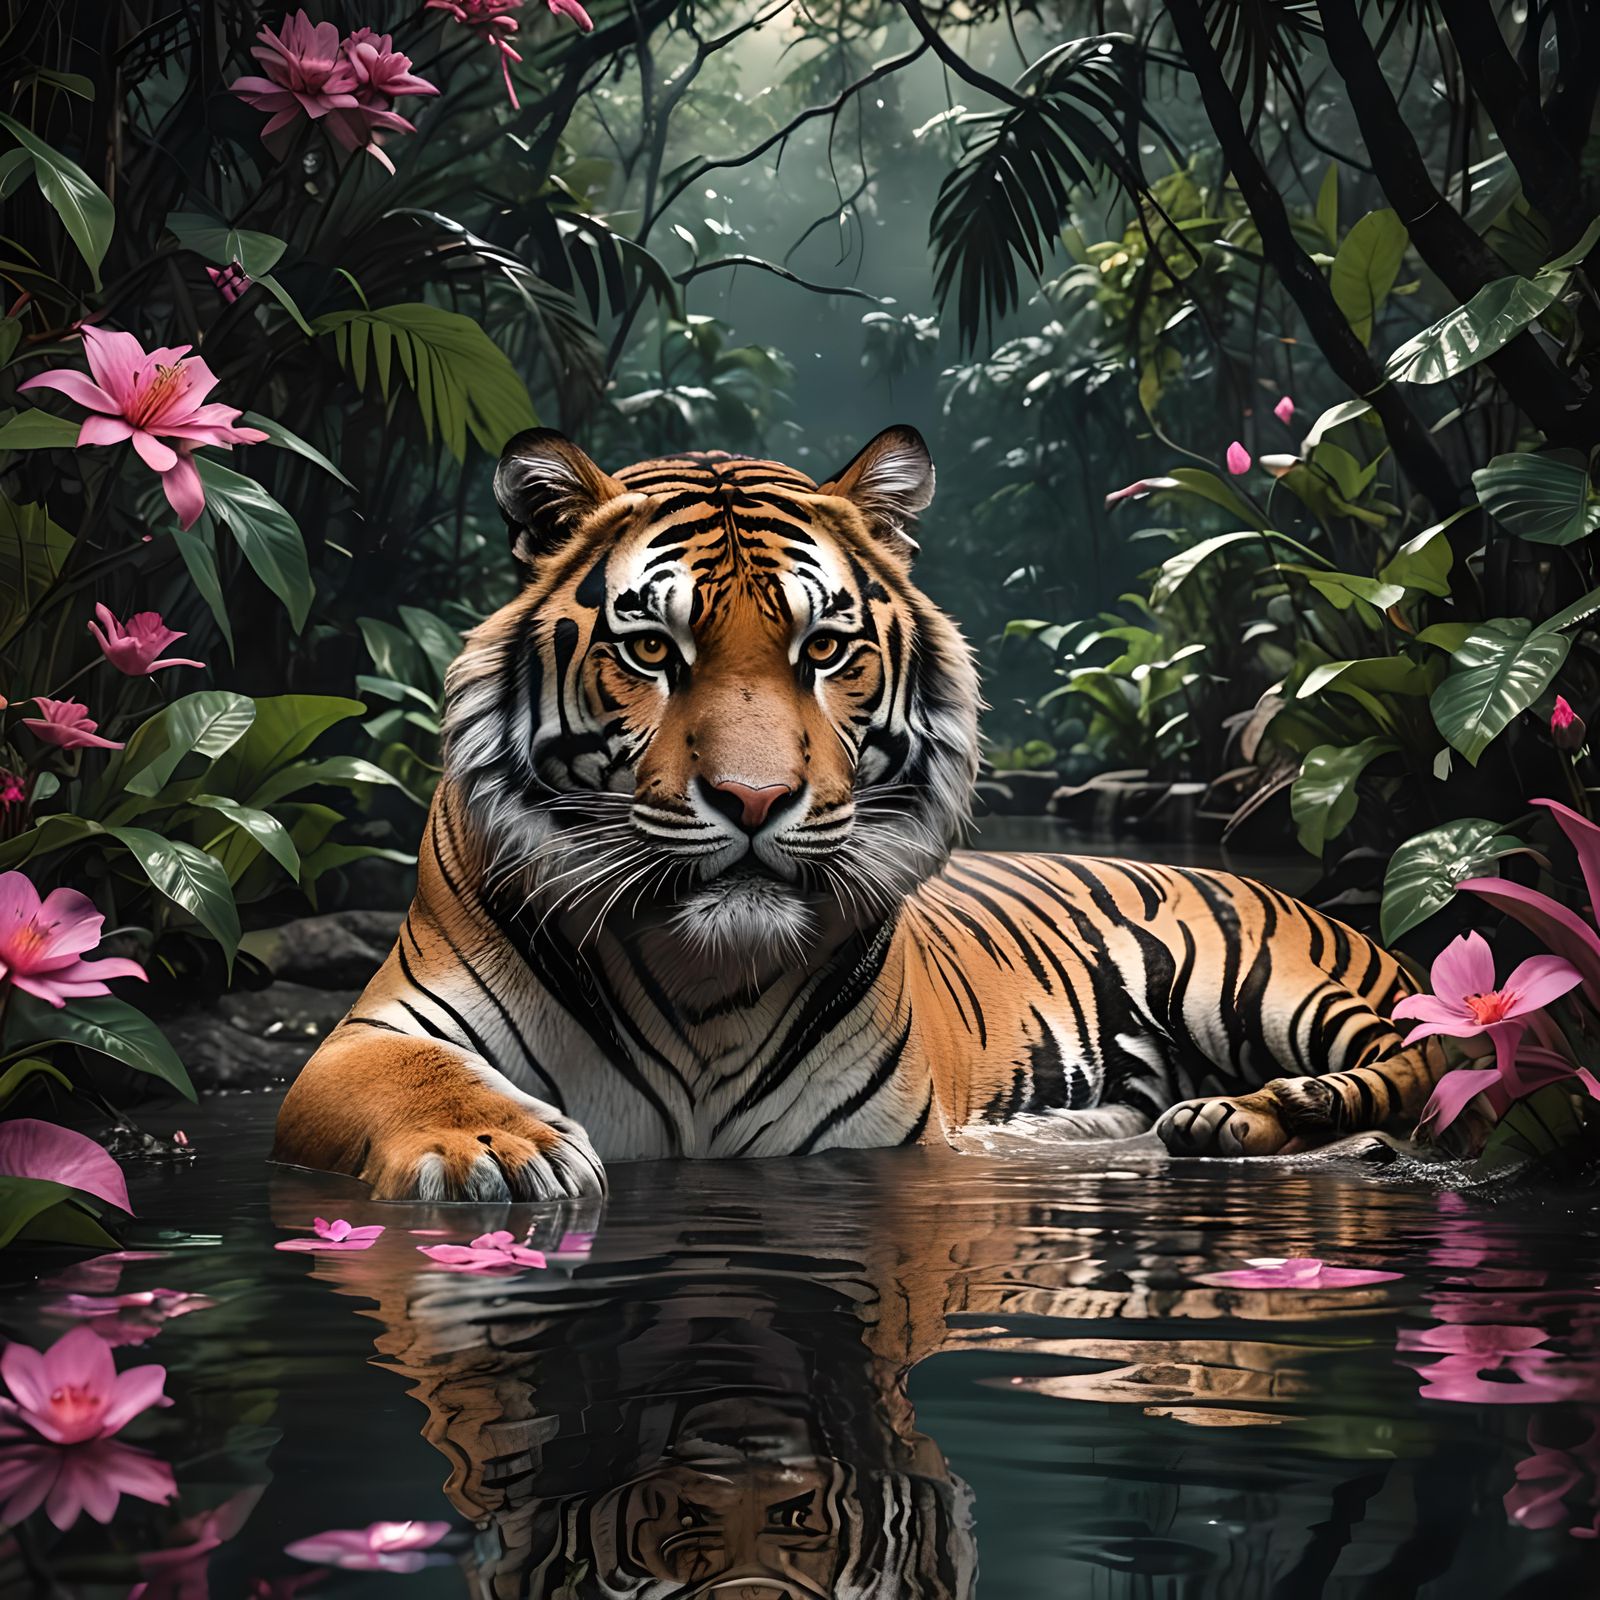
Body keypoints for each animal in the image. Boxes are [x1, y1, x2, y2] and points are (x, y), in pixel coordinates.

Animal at [272, 424, 1449, 1200]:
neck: (702, 982)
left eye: (824, 648)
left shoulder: (875, 1136)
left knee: (1419, 1068)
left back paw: (1245, 1113)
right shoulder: (367, 1035)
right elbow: (416, 1075)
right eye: (651, 649)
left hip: (1260, 981)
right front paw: (498, 1149)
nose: (753, 799)